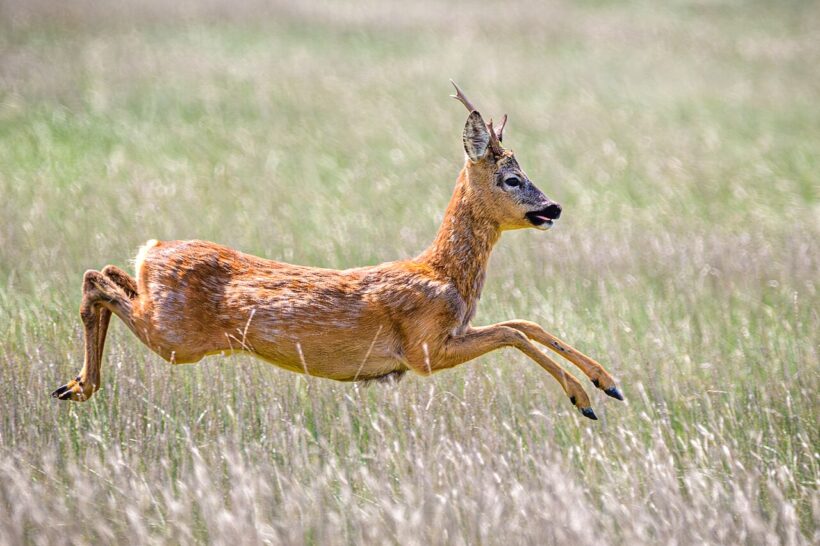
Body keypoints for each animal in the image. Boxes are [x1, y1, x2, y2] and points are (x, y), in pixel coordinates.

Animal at [52, 81, 624, 420]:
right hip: (176, 337)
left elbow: (526, 323)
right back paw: (79, 386)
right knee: (95, 280)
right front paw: (584, 399)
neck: (444, 274)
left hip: (163, 315)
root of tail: (152, 249)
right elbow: (513, 332)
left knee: (108, 272)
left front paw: (608, 383)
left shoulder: (443, 338)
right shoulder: (425, 348)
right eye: (512, 179)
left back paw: (73, 384)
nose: (553, 208)